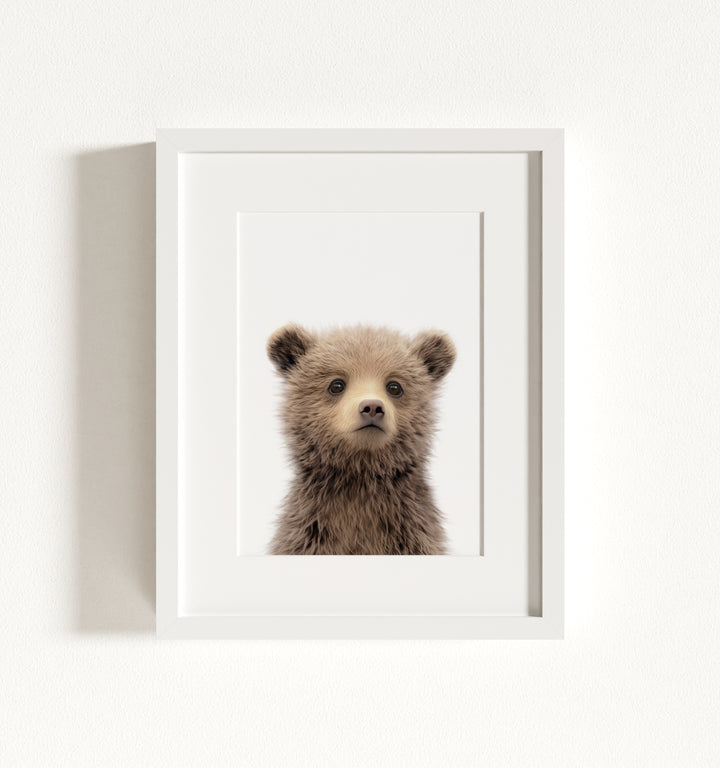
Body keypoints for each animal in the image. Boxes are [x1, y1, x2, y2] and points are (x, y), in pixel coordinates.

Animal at [266, 323, 456, 555]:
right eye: (336, 385)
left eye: (394, 387)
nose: (372, 407)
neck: (360, 476)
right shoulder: (310, 532)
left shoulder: (411, 532)